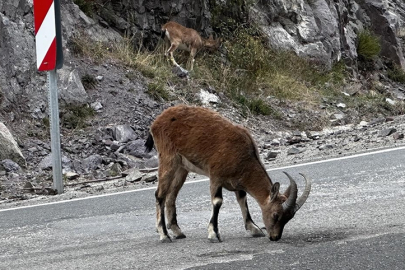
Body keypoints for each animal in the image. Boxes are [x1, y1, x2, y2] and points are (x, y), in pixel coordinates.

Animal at [145, 105, 312, 243]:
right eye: (276, 214)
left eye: (289, 217)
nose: (275, 237)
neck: (242, 155)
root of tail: (156, 122)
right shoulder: (216, 176)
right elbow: (217, 201)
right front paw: (214, 234)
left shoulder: (238, 181)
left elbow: (242, 199)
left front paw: (254, 228)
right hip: (168, 158)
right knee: (160, 194)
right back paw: (164, 235)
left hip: (182, 167)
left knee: (171, 196)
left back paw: (177, 231)